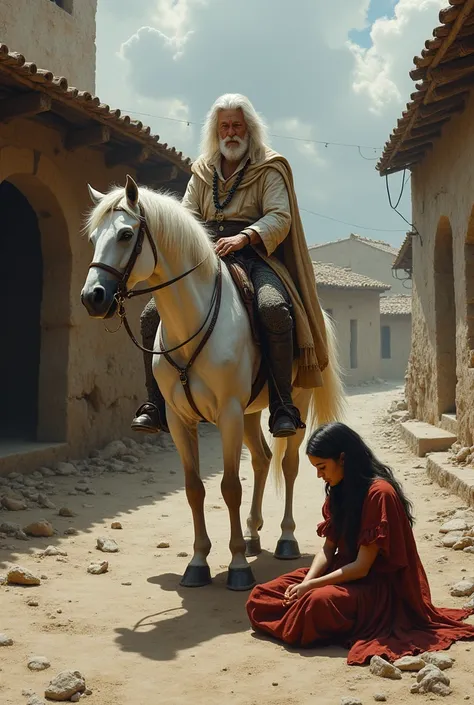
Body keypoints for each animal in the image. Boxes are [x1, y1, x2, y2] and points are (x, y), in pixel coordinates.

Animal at [82, 175, 344, 588]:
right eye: (94, 237)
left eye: (125, 234)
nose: (92, 298)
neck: (193, 319)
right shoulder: (180, 420)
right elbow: (195, 489)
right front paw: (198, 562)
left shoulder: (228, 414)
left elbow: (230, 487)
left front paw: (236, 566)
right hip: (252, 412)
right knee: (262, 459)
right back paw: (253, 534)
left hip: (294, 402)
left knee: (288, 464)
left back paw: (284, 538)